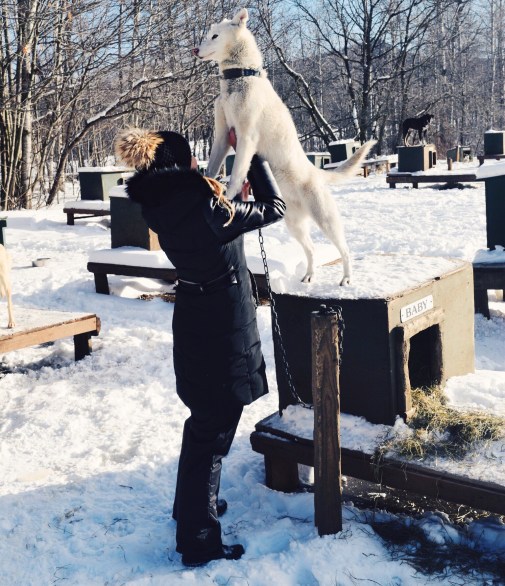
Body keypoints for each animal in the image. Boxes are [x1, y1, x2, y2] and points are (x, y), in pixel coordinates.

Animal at [193, 8, 376, 284]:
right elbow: (213, 167)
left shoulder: (245, 137)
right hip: (293, 223)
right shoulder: (223, 136)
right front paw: (209, 184)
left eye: (214, 35)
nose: (195, 49)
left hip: (326, 220)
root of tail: (316, 173)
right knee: (311, 248)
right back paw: (309, 275)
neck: (238, 79)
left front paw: (229, 195)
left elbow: (236, 173)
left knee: (344, 249)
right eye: (207, 35)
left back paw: (346, 278)